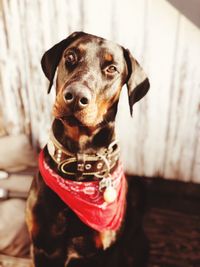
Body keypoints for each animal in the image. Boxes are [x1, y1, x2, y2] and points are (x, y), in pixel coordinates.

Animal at [25, 31, 149, 267]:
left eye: (112, 68)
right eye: (70, 56)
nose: (75, 96)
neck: (79, 160)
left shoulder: (106, 254)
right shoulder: (41, 247)